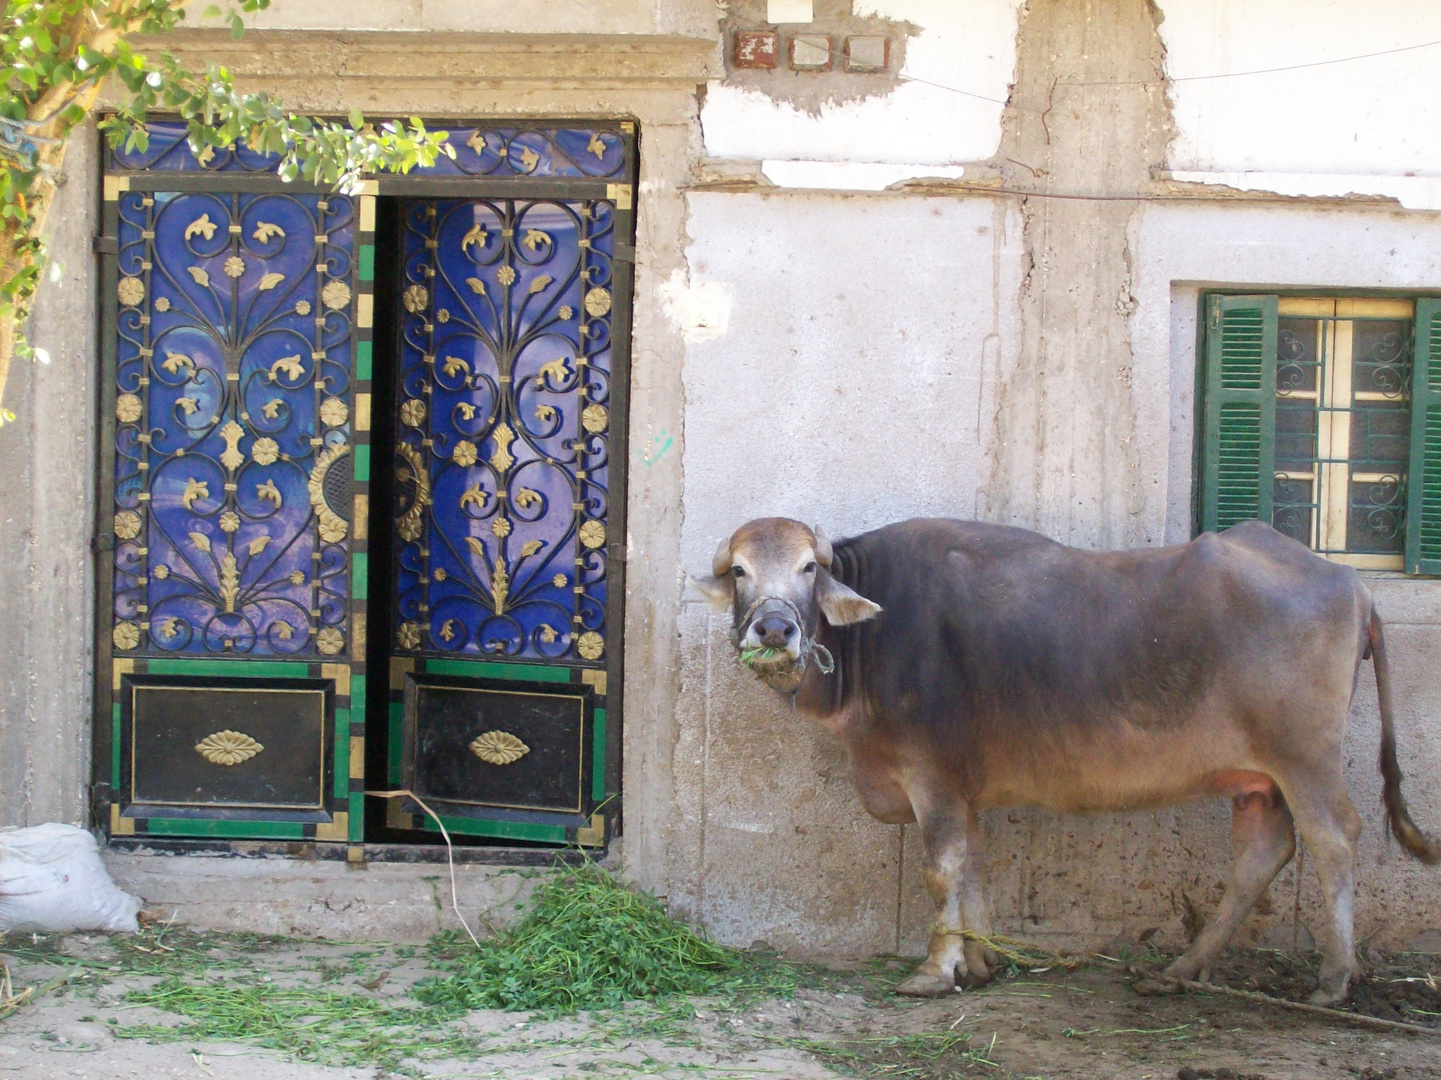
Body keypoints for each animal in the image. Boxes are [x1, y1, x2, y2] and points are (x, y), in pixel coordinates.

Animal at [691, 516, 1435, 1003]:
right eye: (740, 571)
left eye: (808, 569)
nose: (775, 628)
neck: (871, 643)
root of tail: (1347, 580)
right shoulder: (963, 790)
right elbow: (975, 868)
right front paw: (981, 963)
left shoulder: (932, 777)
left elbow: (942, 870)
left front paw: (935, 969)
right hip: (1261, 777)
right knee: (1262, 852)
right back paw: (1182, 968)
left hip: (1306, 758)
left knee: (1333, 839)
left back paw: (1333, 979)